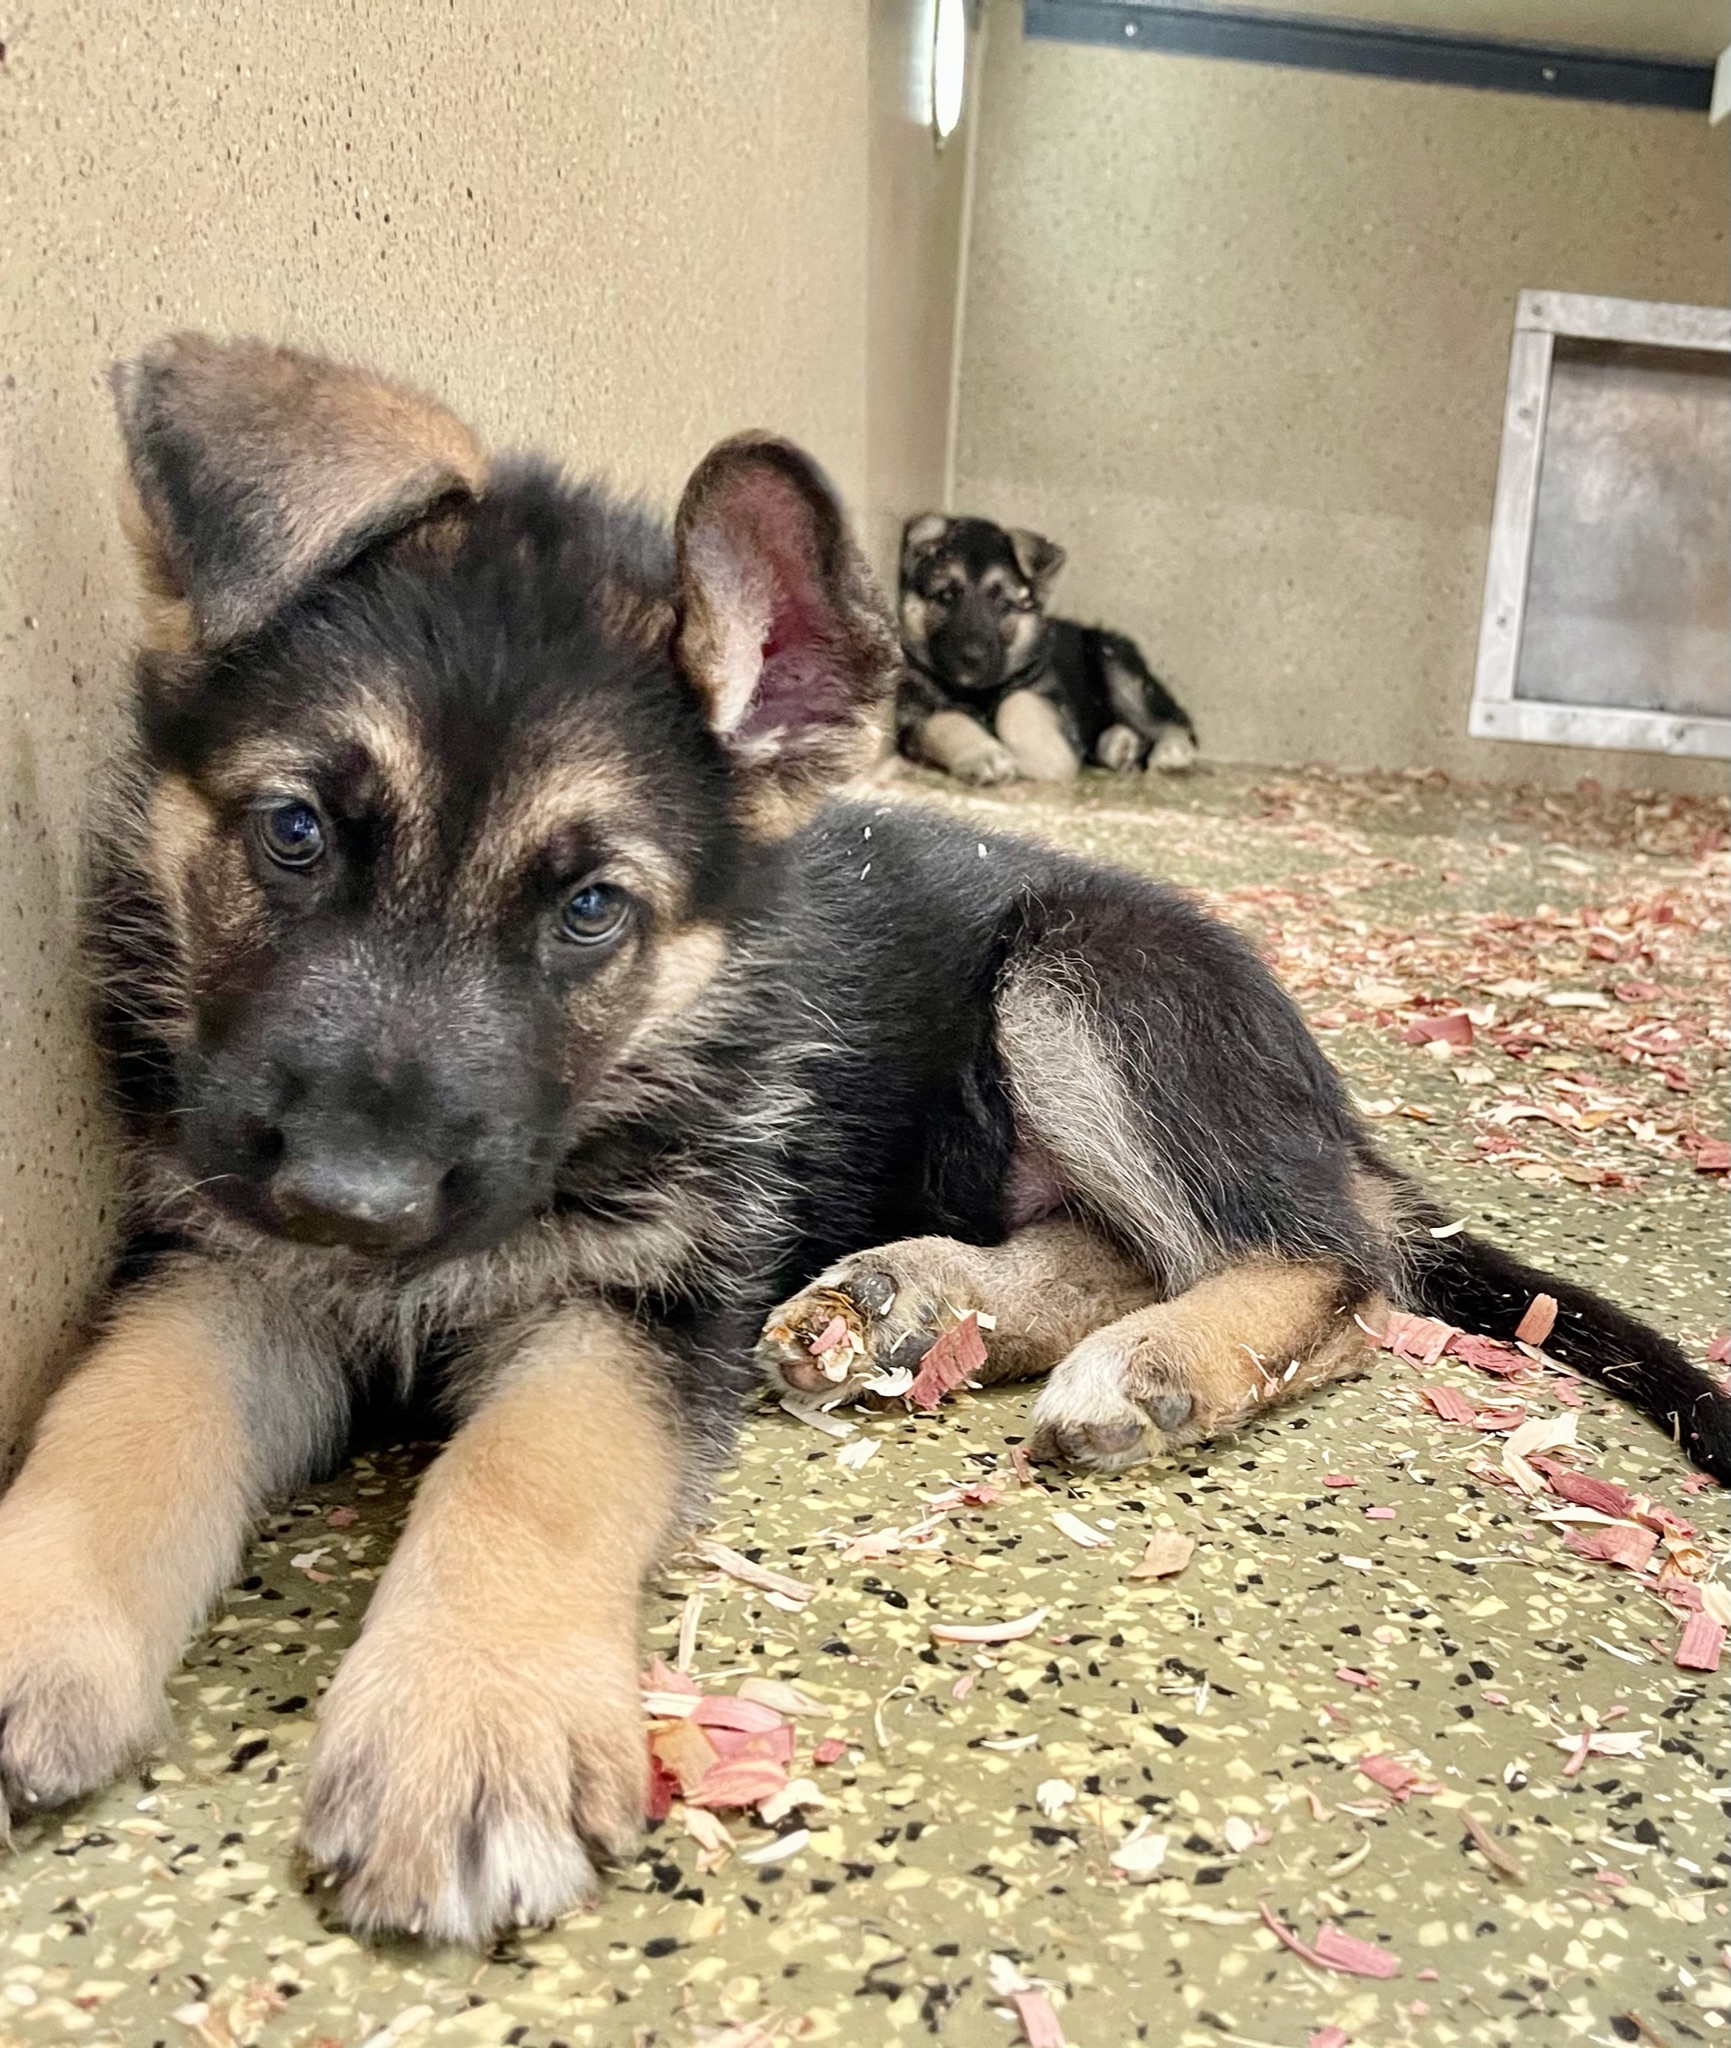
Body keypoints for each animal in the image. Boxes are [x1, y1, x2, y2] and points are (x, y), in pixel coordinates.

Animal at [884, 516, 1196, 786]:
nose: (972, 657)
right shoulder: (910, 719)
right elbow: (945, 720)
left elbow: (1017, 702)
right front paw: (982, 754)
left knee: (1172, 721)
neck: (976, 695)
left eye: (1005, 604)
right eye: (947, 596)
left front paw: (1044, 758)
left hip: (1116, 667)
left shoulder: (1054, 701)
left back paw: (1170, 753)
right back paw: (1120, 745)